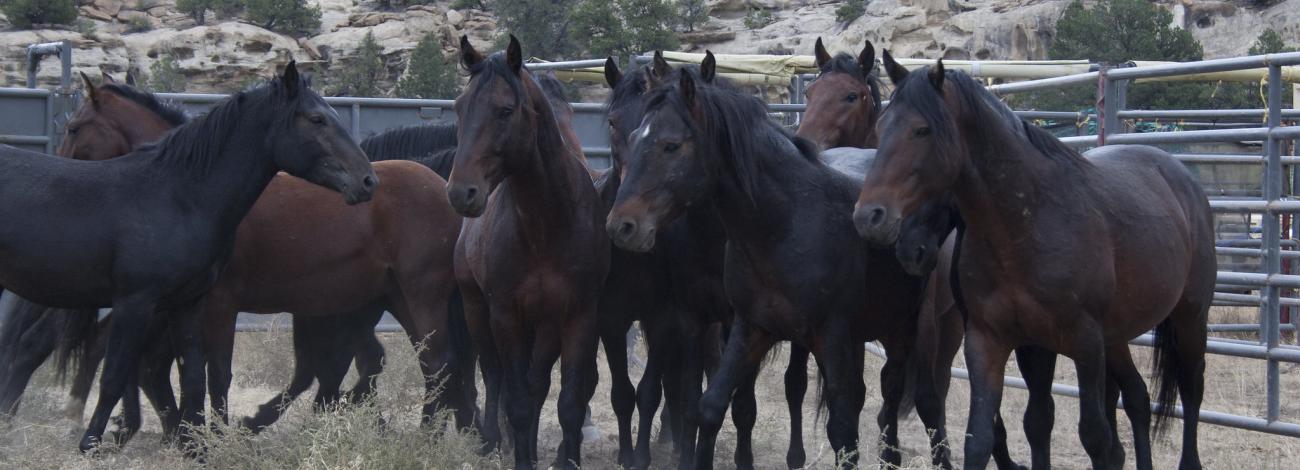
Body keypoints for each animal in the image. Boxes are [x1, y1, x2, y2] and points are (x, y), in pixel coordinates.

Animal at [0, 60, 379, 449]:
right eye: (317, 119)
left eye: (74, 128)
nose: (366, 181)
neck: (178, 195)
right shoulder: (138, 302)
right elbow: (119, 373)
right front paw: (92, 443)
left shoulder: (187, 303)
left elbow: (194, 377)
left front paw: (196, 445)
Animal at [447, 36, 608, 470]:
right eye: (459, 107)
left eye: (504, 110)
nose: (461, 192)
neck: (546, 224)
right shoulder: (505, 314)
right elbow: (516, 401)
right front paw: (518, 454)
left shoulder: (579, 316)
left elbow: (568, 403)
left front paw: (566, 460)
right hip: (475, 309)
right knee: (493, 375)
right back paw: (490, 441)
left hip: (545, 325)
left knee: (537, 384)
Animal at [605, 56, 935, 470]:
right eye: (626, 131)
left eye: (671, 145)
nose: (622, 226)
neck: (785, 223)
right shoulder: (747, 326)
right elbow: (710, 406)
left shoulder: (827, 336)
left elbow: (840, 429)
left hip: (898, 330)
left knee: (887, 394)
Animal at [857, 56, 1211, 470]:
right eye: (880, 127)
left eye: (922, 130)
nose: (870, 217)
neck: (1027, 226)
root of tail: (1177, 171)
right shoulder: (997, 342)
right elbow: (1003, 431)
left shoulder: (1085, 343)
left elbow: (1094, 436)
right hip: (1117, 336)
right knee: (1137, 395)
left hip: (1189, 318)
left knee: (1191, 390)